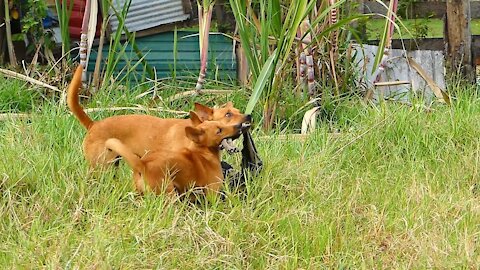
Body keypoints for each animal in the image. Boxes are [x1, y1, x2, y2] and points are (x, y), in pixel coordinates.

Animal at [105, 110, 248, 197]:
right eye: (219, 130)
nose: (240, 126)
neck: (201, 152)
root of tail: (143, 164)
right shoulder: (212, 192)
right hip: (168, 194)